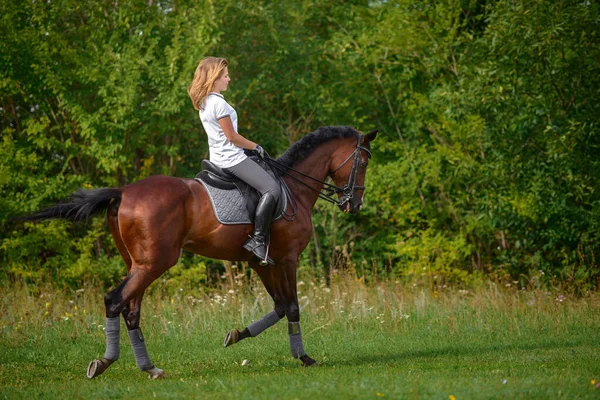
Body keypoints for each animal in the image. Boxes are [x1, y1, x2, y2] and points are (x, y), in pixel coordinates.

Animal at [24, 125, 380, 378]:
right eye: (363, 161)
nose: (355, 203)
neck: (293, 187)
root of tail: (124, 191)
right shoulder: (287, 259)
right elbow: (292, 307)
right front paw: (304, 357)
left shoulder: (262, 263)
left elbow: (279, 307)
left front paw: (236, 335)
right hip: (154, 262)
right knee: (115, 300)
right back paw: (106, 362)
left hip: (138, 264)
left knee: (130, 309)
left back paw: (148, 368)